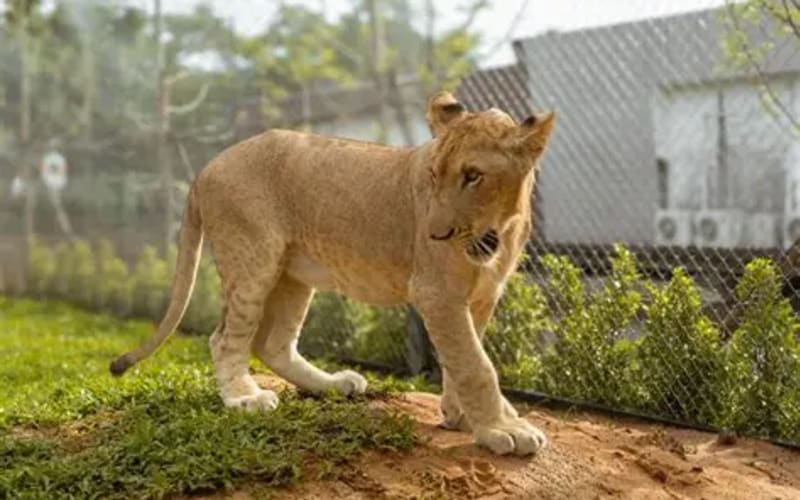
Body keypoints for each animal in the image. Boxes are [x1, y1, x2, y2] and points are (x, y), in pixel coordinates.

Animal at [110, 91, 556, 457]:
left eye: (473, 176)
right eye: (433, 175)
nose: (434, 234)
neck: (498, 231)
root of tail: (206, 167)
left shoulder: (480, 296)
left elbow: (462, 357)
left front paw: (462, 414)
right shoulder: (436, 293)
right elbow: (475, 365)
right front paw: (503, 429)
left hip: (293, 275)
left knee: (274, 344)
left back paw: (334, 385)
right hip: (252, 260)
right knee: (224, 339)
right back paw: (245, 398)